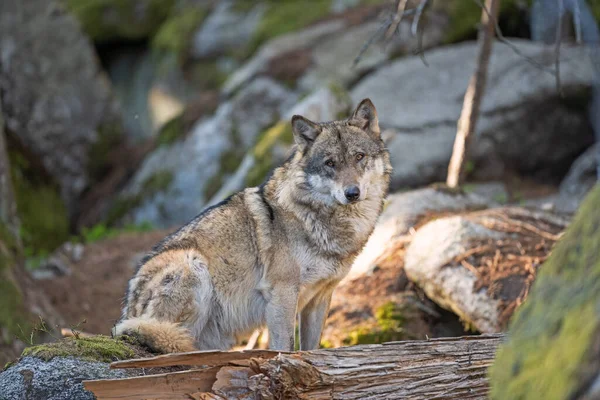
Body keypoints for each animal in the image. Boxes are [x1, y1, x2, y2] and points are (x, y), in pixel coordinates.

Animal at [114, 99, 392, 354]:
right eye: (330, 163)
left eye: (359, 157)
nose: (352, 193)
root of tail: (128, 308)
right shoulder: (282, 294)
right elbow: (285, 346)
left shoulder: (320, 297)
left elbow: (311, 348)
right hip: (193, 265)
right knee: (167, 338)